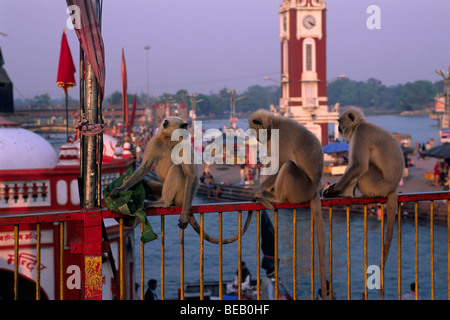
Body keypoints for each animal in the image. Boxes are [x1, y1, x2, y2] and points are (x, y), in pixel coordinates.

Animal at [248, 109, 328, 300]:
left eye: (257, 132)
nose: (258, 139)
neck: (275, 125)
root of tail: (314, 189)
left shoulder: (281, 136)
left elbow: (280, 164)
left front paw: (259, 190)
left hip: (299, 187)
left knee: (288, 165)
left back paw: (276, 197)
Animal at [324, 108, 404, 300]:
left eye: (339, 122)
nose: (338, 128)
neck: (361, 124)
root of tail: (393, 187)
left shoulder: (360, 134)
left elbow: (358, 166)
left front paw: (335, 191)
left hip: (375, 184)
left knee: (362, 169)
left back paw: (345, 193)